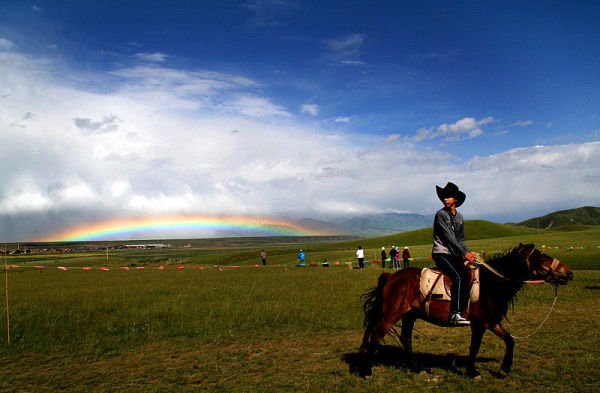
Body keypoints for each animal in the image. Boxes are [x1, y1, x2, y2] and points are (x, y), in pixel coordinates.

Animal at [358, 243, 576, 378]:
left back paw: (419, 368)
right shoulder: (479, 324)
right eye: (543, 258)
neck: (491, 284)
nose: (569, 272)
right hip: (391, 315)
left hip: (410, 316)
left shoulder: (492, 322)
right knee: (376, 337)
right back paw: (367, 371)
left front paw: (504, 370)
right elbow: (474, 347)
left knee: (405, 339)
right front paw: (473, 372)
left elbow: (510, 341)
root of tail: (390, 277)